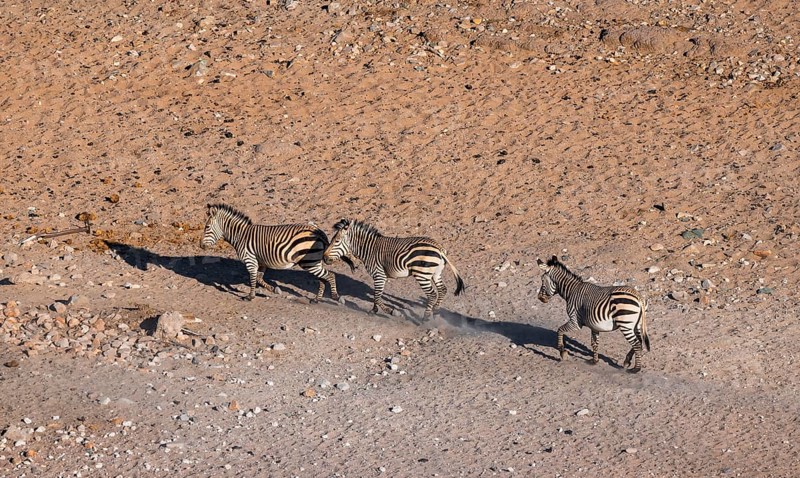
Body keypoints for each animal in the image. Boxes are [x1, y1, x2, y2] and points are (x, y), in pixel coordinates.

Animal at [200, 203, 354, 302]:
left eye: (207, 227)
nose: (201, 245)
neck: (240, 235)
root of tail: (319, 232)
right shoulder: (261, 262)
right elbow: (259, 279)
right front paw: (274, 290)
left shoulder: (250, 260)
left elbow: (253, 278)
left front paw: (250, 297)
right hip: (313, 262)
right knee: (323, 278)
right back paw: (317, 299)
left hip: (309, 261)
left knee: (330, 275)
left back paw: (335, 297)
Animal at [322, 218, 465, 319]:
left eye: (336, 241)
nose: (324, 257)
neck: (369, 249)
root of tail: (439, 248)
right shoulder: (382, 276)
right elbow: (378, 295)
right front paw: (376, 310)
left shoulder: (378, 274)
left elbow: (377, 295)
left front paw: (387, 311)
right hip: (435, 273)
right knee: (442, 290)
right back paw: (435, 310)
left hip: (422, 274)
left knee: (432, 294)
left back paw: (426, 317)